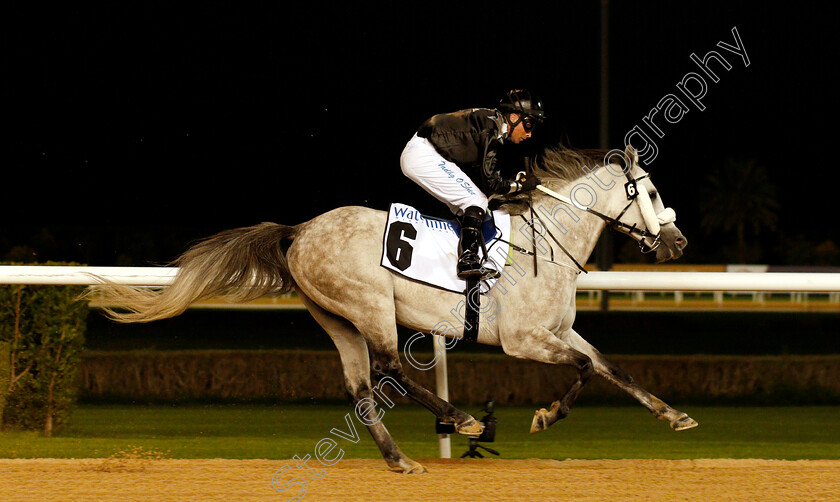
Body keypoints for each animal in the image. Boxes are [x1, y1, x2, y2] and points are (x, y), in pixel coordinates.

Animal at [98, 144, 700, 470]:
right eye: (648, 193)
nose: (677, 242)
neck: (546, 242)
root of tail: (300, 230)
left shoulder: (560, 331)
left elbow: (609, 367)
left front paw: (675, 416)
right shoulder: (523, 340)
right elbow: (581, 370)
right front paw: (545, 415)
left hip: (337, 319)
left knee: (361, 388)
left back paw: (399, 459)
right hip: (371, 307)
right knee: (389, 371)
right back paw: (463, 420)